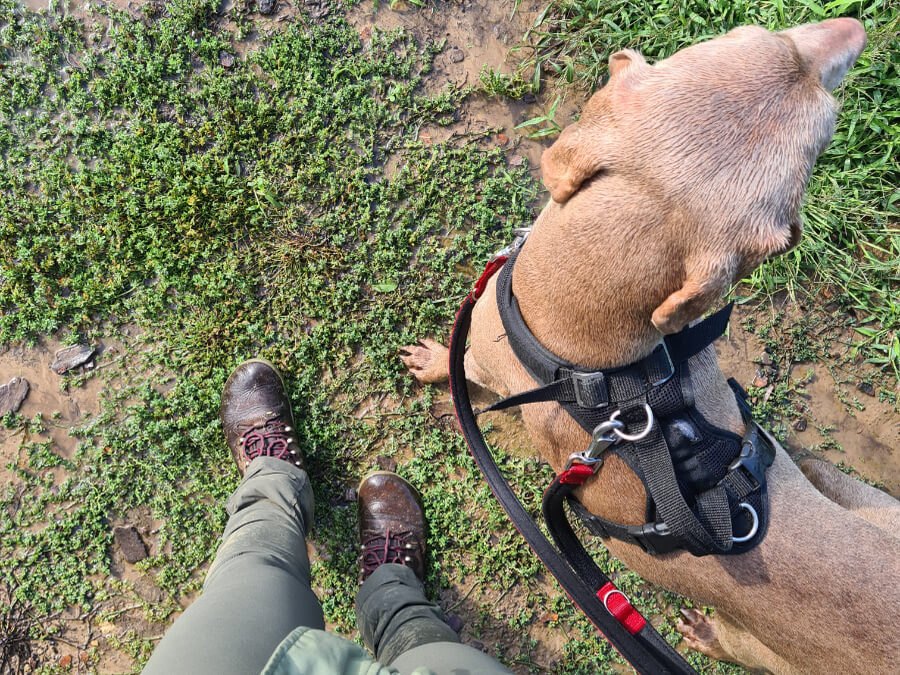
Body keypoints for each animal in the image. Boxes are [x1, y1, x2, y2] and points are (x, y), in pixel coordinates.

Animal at [400, 18, 900, 672]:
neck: (593, 357)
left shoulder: (483, 352)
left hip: (764, 646)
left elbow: (456, 365)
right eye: (752, 32)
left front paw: (431, 361)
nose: (856, 25)